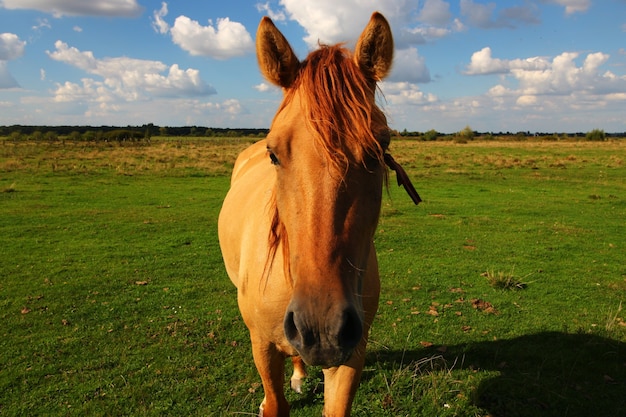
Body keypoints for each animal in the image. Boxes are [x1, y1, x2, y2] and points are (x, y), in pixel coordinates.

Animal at [217, 11, 416, 414]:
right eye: (274, 152)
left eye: (380, 148)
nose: (321, 328)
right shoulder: (262, 346)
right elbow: (274, 402)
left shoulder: (351, 352)